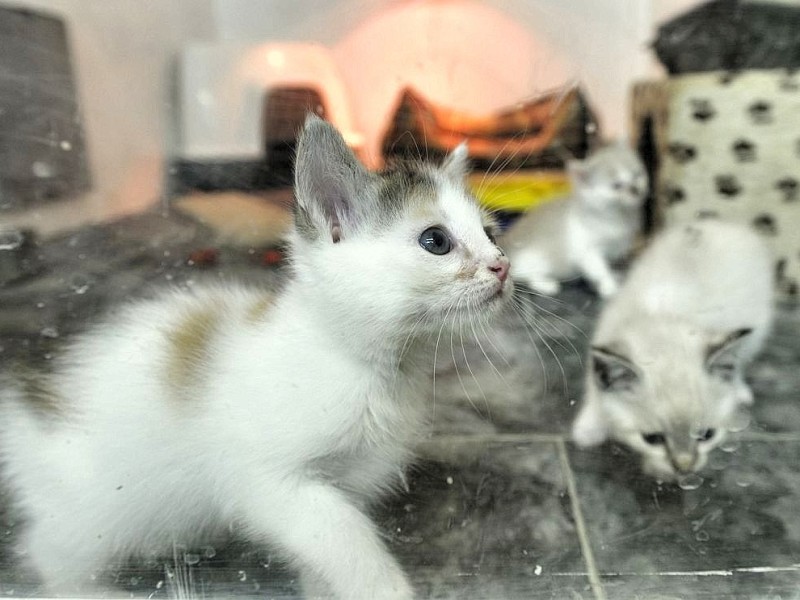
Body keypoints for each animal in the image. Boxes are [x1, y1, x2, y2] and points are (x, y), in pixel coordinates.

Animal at [0, 115, 512, 596]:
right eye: (436, 241)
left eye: (491, 233)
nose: (502, 266)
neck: (375, 370)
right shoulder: (267, 480)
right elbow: (342, 532)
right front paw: (385, 587)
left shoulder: (351, 478)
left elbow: (322, 552)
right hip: (94, 513)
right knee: (46, 549)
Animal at [504, 143, 648, 298]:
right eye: (616, 186)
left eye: (637, 175)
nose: (635, 189)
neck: (617, 216)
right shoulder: (587, 252)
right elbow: (600, 271)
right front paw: (610, 287)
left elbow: (606, 267)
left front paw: (613, 276)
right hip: (532, 259)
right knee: (525, 275)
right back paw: (546, 284)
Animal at [576, 219, 776, 478]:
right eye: (652, 439)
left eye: (706, 435)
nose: (684, 468)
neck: (662, 319)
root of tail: (722, 224)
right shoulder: (603, 338)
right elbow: (594, 389)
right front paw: (588, 428)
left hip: (758, 323)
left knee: (742, 358)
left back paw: (738, 388)